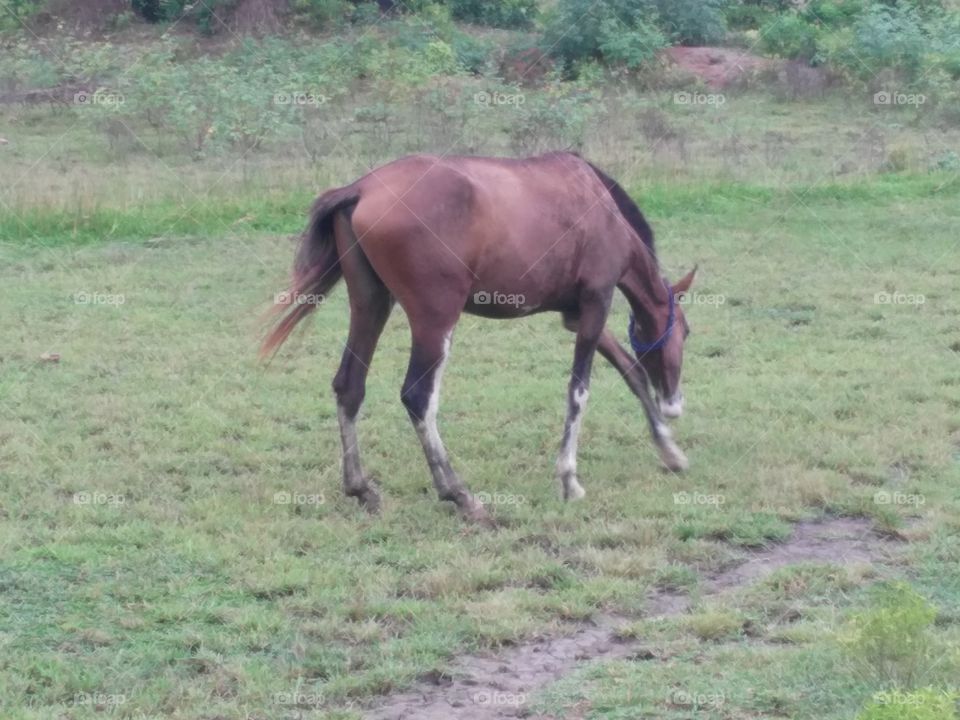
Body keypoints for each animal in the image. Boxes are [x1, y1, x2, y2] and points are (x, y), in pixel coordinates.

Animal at [262, 152, 696, 524]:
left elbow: (631, 372)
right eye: (687, 332)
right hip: (435, 321)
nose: (674, 404)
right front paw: (569, 480)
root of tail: (361, 189)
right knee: (418, 397)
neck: (600, 204)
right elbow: (579, 392)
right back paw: (460, 495)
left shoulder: (577, 316)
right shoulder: (596, 303)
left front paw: (670, 451)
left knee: (349, 386)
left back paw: (361, 488)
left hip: (371, 305)